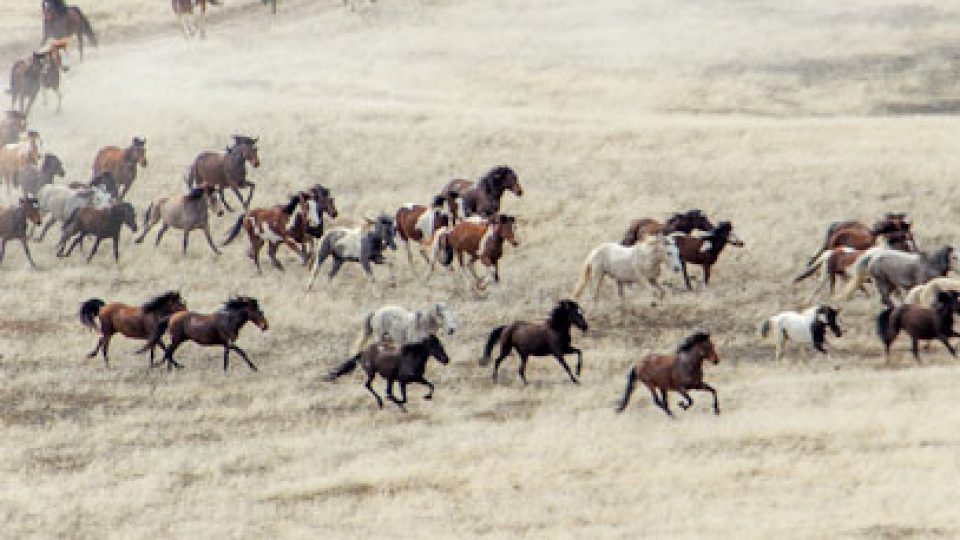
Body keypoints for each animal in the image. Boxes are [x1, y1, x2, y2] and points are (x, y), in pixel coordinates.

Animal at [138, 296, 268, 371]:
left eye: (260, 311)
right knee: (169, 351)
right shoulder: (229, 343)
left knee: (169, 351)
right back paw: (167, 367)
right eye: (257, 311)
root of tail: (171, 316)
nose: (265, 326)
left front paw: (225, 370)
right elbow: (241, 352)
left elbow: (227, 356)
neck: (229, 320)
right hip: (177, 339)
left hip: (179, 340)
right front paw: (254, 368)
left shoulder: (226, 344)